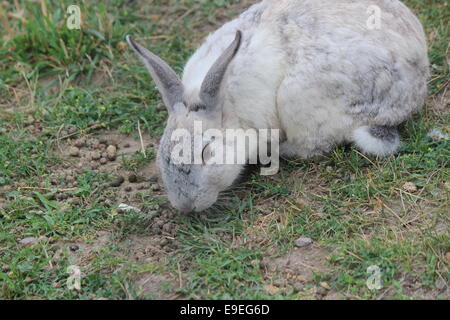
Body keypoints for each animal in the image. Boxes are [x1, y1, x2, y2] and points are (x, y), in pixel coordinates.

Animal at [126, 0, 428, 215]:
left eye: (206, 152)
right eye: (163, 154)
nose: (186, 206)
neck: (226, 106)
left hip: (298, 100)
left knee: (312, 146)